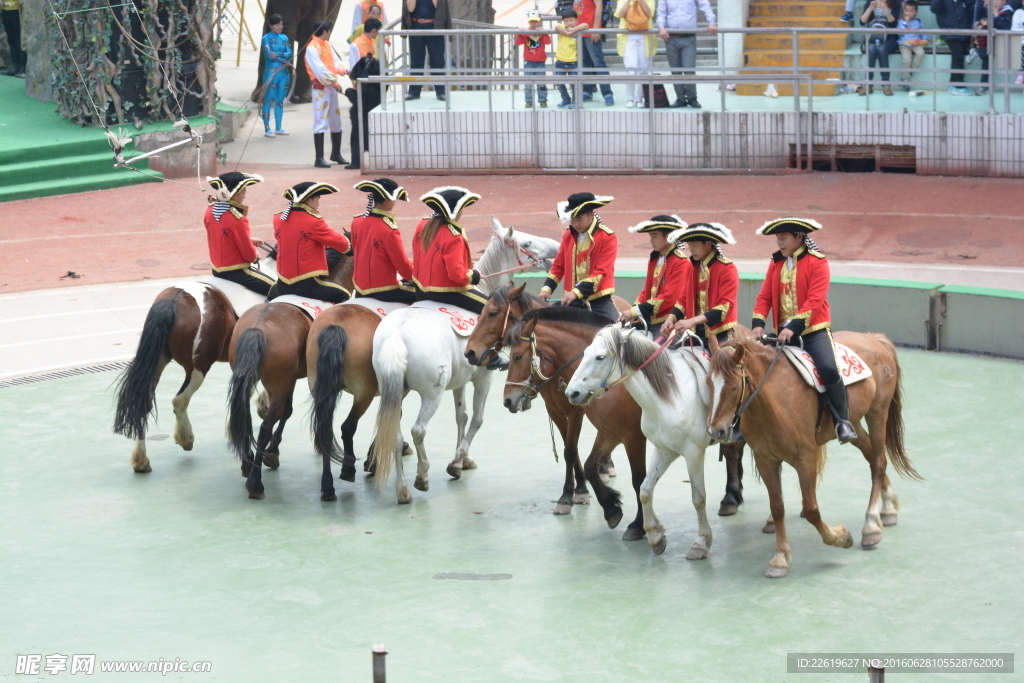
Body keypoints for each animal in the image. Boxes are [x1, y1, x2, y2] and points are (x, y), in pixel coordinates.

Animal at [112, 253, 352, 473]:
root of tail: (173, 300)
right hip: (198, 367)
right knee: (179, 400)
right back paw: (185, 436)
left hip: (158, 361)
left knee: (143, 401)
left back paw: (141, 459)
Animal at [370, 218, 561, 501]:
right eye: (527, 241)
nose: (557, 246)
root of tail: (397, 335)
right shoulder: (483, 377)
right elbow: (478, 418)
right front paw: (457, 462)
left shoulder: (459, 381)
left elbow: (461, 416)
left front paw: (464, 458)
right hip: (432, 394)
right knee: (418, 431)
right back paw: (422, 476)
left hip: (392, 391)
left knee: (394, 433)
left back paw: (402, 490)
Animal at [565, 327, 716, 561]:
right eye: (585, 352)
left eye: (600, 357)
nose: (571, 392)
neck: (671, 396)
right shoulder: (663, 450)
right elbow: (645, 489)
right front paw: (655, 535)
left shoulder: (692, 452)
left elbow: (698, 498)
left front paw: (700, 542)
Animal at [704, 333, 921, 581]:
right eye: (708, 382)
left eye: (733, 386)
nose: (716, 431)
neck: (773, 399)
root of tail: (872, 338)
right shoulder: (765, 460)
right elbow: (777, 508)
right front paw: (780, 558)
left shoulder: (805, 458)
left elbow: (811, 509)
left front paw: (841, 537)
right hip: (854, 422)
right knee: (871, 455)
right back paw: (889, 507)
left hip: (878, 413)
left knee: (878, 463)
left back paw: (871, 526)